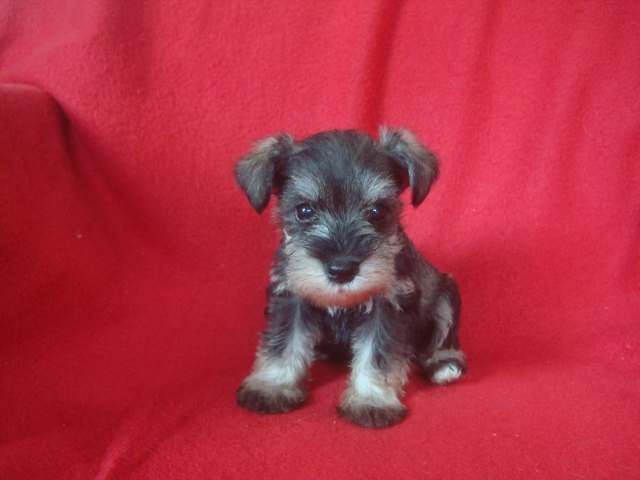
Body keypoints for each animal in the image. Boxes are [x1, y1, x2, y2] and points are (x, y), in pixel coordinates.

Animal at [234, 127, 466, 428]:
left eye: (377, 211)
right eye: (304, 210)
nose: (341, 269)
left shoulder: (388, 306)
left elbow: (377, 356)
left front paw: (372, 400)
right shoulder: (290, 299)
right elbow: (283, 342)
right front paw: (272, 385)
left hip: (447, 294)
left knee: (444, 337)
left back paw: (444, 364)